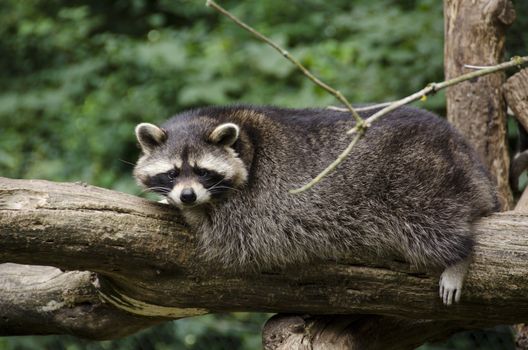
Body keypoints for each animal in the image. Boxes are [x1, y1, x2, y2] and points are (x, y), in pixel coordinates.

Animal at [134, 105, 498, 304]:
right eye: (172, 173)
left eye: (202, 172)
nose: (187, 196)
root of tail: (460, 146)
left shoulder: (250, 206)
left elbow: (218, 228)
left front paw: (191, 212)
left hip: (420, 183)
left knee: (432, 228)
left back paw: (458, 257)